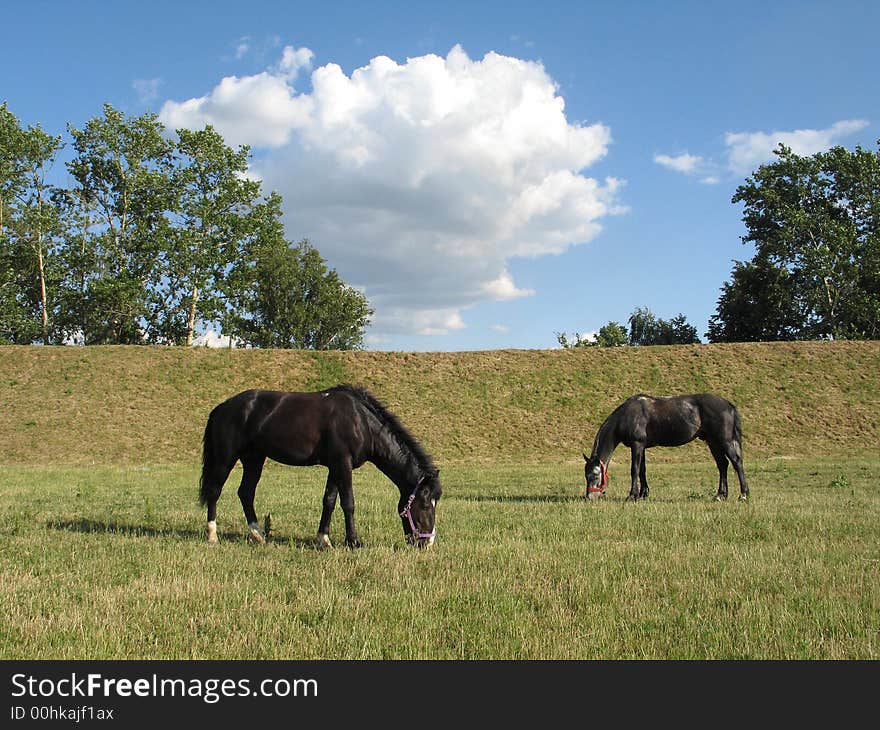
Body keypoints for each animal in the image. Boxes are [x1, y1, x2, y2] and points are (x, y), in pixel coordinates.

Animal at [202, 386, 444, 544]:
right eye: (425, 505)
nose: (427, 542)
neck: (360, 421)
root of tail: (222, 407)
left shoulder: (335, 467)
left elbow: (329, 501)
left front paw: (323, 539)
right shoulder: (343, 464)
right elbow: (348, 503)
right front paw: (353, 541)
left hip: (254, 460)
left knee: (246, 493)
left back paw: (258, 534)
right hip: (225, 459)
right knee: (214, 492)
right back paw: (212, 535)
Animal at [584, 392, 748, 500]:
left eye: (595, 474)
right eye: (586, 475)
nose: (589, 497)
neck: (627, 415)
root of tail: (728, 405)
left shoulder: (637, 445)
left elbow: (634, 469)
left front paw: (632, 496)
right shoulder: (642, 447)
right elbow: (642, 470)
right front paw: (643, 494)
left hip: (725, 441)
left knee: (736, 462)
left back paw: (743, 494)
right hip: (713, 442)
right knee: (722, 465)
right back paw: (720, 495)